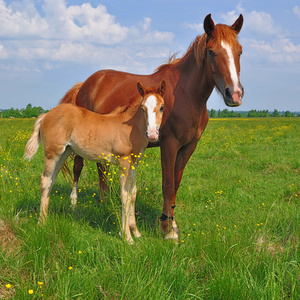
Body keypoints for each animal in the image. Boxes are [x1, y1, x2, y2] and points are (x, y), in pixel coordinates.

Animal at [24, 80, 165, 244]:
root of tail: (46, 114)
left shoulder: (134, 163)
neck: (131, 128)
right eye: (143, 108)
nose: (152, 134)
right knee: (45, 181)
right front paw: (127, 237)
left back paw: (45, 219)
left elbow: (133, 192)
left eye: (161, 107)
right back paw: (41, 223)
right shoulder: (123, 162)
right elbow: (125, 194)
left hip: (64, 153)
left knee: (51, 181)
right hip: (53, 153)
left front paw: (135, 231)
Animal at [60, 14, 244, 240]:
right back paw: (74, 204)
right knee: (78, 166)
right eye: (211, 52)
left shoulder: (188, 147)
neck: (186, 94)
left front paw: (172, 225)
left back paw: (104, 204)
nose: (234, 94)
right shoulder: (169, 144)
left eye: (239, 51)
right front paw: (166, 230)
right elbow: (168, 184)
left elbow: (175, 185)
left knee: (101, 169)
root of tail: (86, 83)